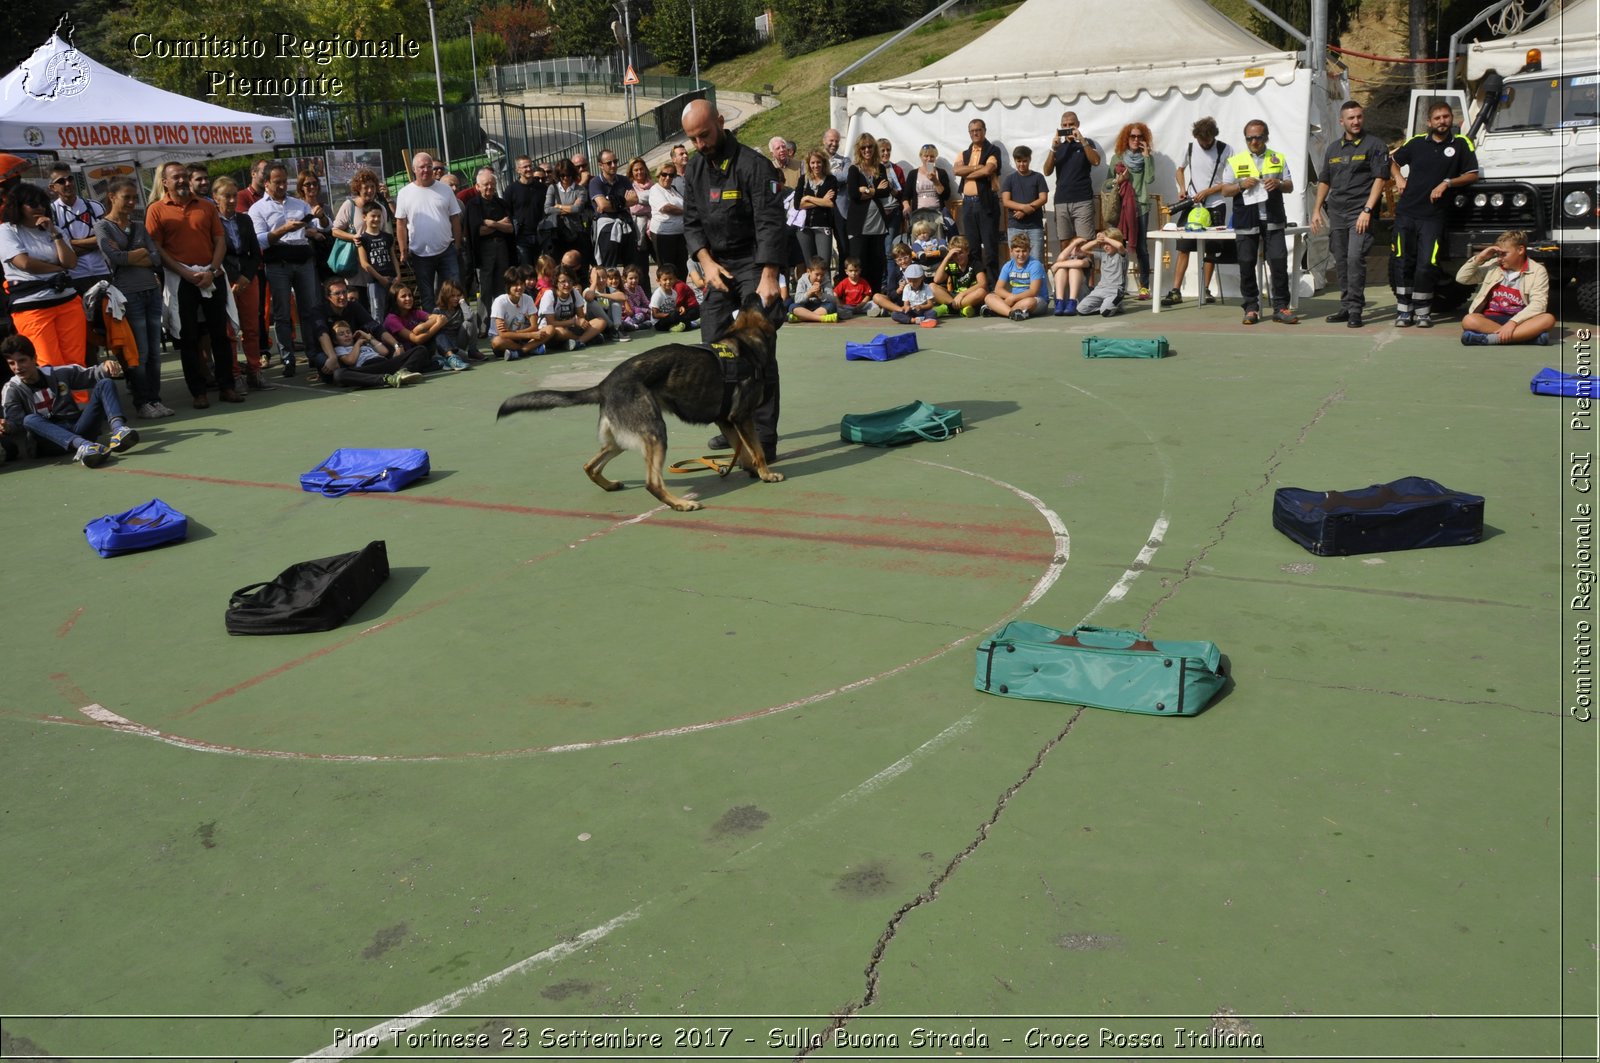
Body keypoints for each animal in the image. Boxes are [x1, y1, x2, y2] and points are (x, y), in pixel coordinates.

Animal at [492, 305, 780, 512]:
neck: (745, 344)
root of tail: (603, 385)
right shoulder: (742, 418)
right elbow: (756, 450)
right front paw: (766, 474)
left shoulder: (727, 421)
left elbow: (743, 450)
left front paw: (751, 470)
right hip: (655, 433)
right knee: (652, 483)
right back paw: (680, 504)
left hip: (620, 440)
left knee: (589, 465)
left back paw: (609, 485)